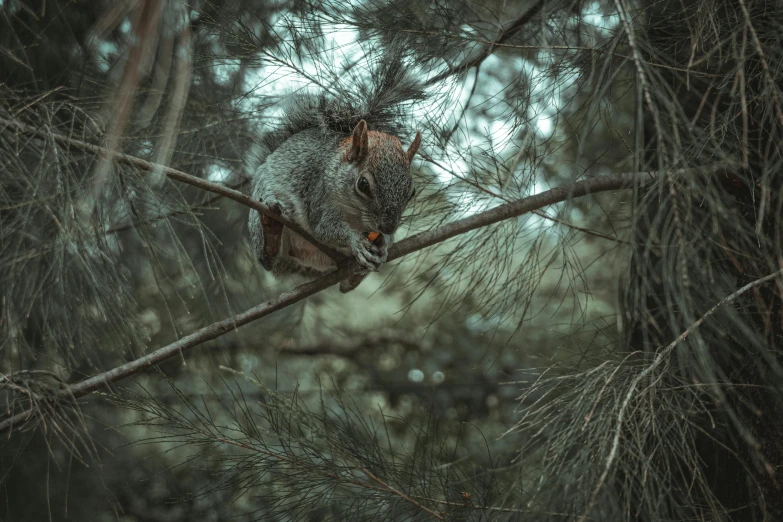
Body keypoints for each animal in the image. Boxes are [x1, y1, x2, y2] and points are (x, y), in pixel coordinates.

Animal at [248, 54, 426, 294]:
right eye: (363, 184)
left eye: (412, 192)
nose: (388, 227)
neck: (356, 214)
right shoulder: (318, 197)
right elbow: (325, 228)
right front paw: (356, 241)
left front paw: (386, 242)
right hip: (262, 206)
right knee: (268, 259)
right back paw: (272, 232)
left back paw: (353, 278)